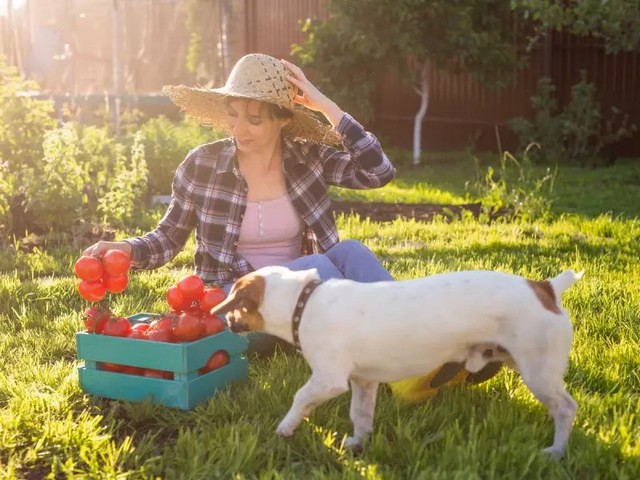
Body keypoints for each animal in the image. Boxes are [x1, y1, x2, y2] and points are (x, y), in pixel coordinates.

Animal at [212, 266, 584, 458]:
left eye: (236, 304)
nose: (226, 321)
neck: (305, 301)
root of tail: (546, 288)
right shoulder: (364, 381)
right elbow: (360, 415)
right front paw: (358, 443)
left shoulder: (328, 379)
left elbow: (300, 398)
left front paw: (286, 427)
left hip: (538, 370)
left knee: (566, 409)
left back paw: (557, 450)